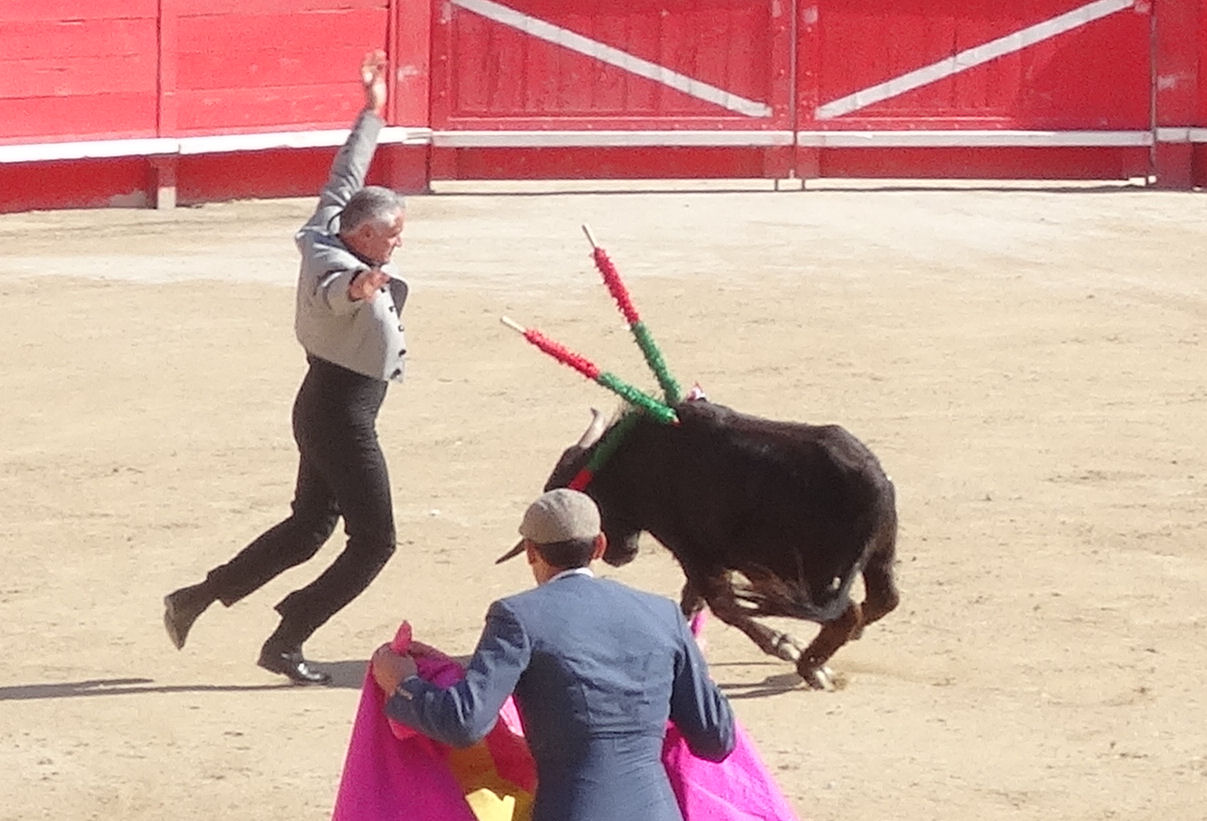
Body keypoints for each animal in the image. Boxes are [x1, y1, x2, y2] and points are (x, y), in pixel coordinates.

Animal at [499, 396, 898, 685]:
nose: (618, 554)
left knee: (849, 611)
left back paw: (811, 667)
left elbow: (719, 603)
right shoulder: (704, 556)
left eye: (597, 503)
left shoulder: (691, 549)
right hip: (876, 557)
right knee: (883, 600)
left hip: (809, 575)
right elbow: (694, 601)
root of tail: (875, 486)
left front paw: (784, 645)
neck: (631, 461)